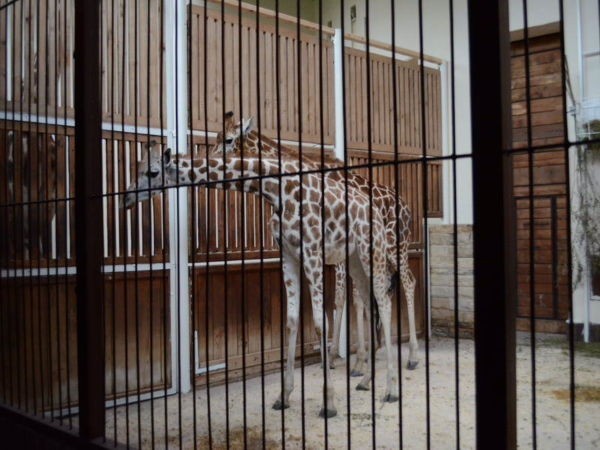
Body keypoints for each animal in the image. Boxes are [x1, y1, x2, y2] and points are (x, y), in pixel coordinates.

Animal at [120, 141, 404, 418]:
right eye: (136, 168)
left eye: (152, 172)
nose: (126, 198)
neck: (276, 190)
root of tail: (376, 209)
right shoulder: (288, 254)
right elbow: (291, 320)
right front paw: (283, 396)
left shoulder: (313, 252)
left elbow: (320, 323)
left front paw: (329, 403)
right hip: (354, 259)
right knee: (370, 301)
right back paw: (365, 380)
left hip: (373, 249)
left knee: (385, 300)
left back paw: (390, 390)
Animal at [213, 112, 420, 376]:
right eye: (217, 137)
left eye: (228, 139)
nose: (211, 161)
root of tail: (407, 208)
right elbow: (340, 301)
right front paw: (341, 358)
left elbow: (341, 298)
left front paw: (341, 359)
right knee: (383, 288)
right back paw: (377, 350)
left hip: (396, 246)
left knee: (408, 282)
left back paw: (411, 356)